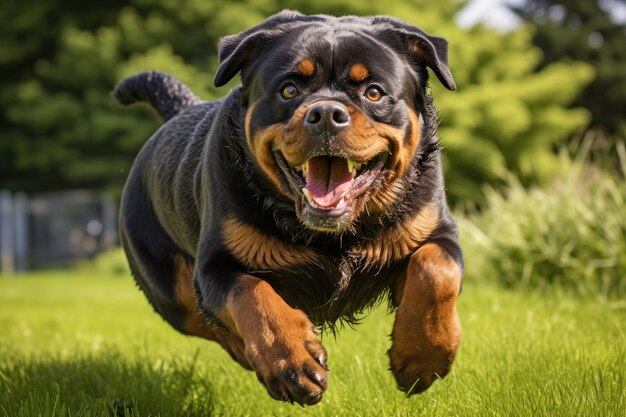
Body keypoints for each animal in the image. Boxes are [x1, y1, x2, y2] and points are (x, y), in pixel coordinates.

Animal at [114, 10, 460, 406]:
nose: (326, 112)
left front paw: (422, 354)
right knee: (202, 316)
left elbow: (436, 270)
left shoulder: (436, 229)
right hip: (170, 289)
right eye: (289, 90)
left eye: (373, 92)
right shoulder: (216, 265)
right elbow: (251, 294)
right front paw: (291, 362)